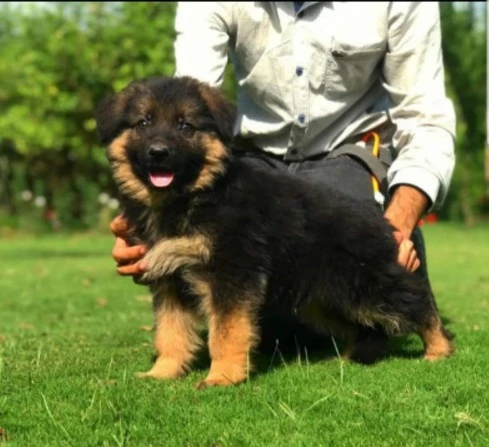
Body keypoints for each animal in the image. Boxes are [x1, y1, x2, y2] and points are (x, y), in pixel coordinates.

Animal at [95, 76, 454, 388]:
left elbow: (225, 331)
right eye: (143, 123)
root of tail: (380, 218)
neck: (193, 196)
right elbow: (169, 332)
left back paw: (439, 350)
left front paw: (221, 377)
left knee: (420, 306)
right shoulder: (169, 278)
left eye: (185, 126)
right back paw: (348, 359)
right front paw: (162, 372)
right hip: (328, 299)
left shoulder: (232, 274)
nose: (158, 152)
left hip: (371, 287)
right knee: (368, 328)